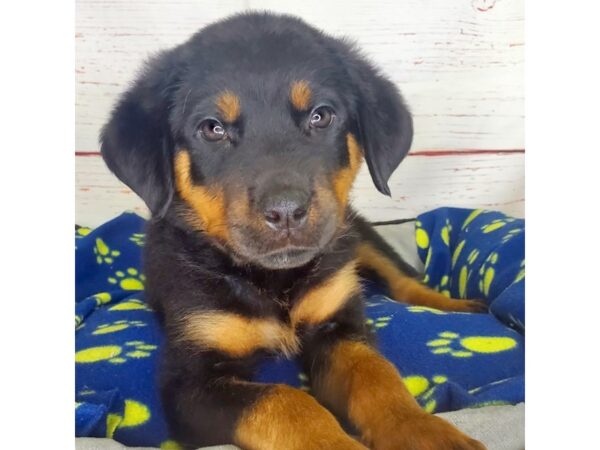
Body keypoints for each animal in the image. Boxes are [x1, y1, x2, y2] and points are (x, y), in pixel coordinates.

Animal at [101, 10, 486, 450]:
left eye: (321, 116)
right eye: (213, 128)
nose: (286, 211)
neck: (273, 281)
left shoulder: (338, 327)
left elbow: (377, 376)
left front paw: (424, 431)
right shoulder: (190, 381)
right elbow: (285, 401)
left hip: (354, 234)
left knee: (401, 278)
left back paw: (458, 305)